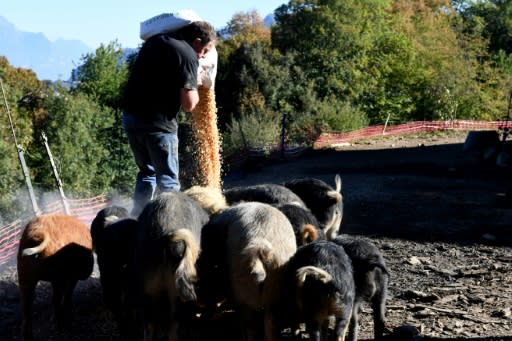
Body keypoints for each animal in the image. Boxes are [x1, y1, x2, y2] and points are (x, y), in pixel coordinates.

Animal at [17, 212, 94, 340]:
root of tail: (38, 233)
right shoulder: (70, 276)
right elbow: (68, 292)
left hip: (24, 275)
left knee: (26, 308)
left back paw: (28, 337)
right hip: (57, 277)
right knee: (55, 300)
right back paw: (63, 327)